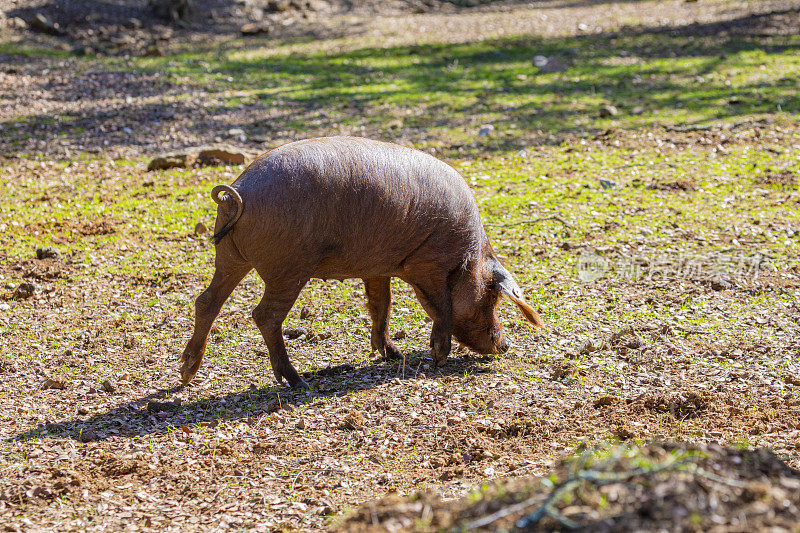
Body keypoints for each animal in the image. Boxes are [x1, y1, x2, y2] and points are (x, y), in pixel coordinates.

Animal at [180, 135, 544, 388]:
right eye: (491, 296)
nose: (506, 345)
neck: (466, 254)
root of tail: (239, 192)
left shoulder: (378, 269)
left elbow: (381, 306)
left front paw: (393, 354)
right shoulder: (427, 265)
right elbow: (442, 308)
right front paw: (437, 358)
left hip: (229, 257)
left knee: (206, 301)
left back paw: (185, 375)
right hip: (289, 268)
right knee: (264, 315)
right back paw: (297, 381)